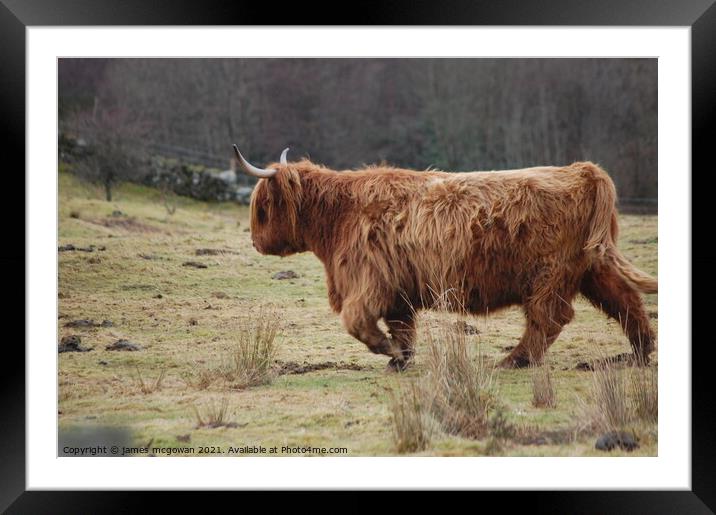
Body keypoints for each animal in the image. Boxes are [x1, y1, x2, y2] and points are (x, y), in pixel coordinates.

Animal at [232, 145, 656, 370]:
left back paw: (514, 360)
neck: (340, 216)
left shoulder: (369, 280)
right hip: (593, 267)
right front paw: (399, 359)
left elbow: (356, 321)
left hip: (548, 274)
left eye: (262, 208)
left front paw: (387, 351)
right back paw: (638, 355)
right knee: (626, 302)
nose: (255, 241)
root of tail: (583, 170)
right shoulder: (397, 290)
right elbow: (403, 326)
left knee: (548, 318)